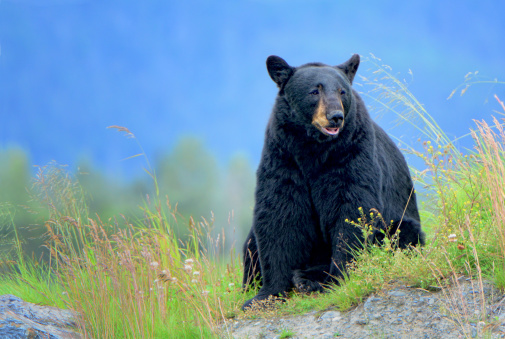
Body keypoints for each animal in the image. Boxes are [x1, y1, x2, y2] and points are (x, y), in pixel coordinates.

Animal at [242, 53, 424, 310]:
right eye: (314, 91)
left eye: (342, 91)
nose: (335, 116)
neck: (313, 148)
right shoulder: (283, 156)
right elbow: (280, 213)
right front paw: (265, 294)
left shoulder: (350, 153)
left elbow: (352, 210)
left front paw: (336, 279)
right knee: (250, 244)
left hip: (401, 223)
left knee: (401, 234)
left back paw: (308, 278)